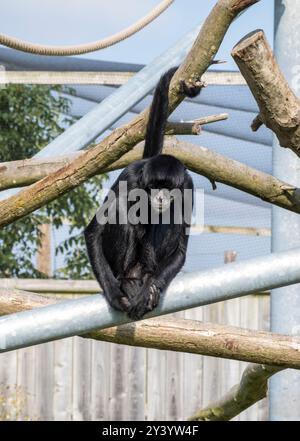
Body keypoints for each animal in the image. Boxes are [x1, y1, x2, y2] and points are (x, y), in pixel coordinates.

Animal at [84, 66, 202, 320]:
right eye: (155, 186)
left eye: (168, 188)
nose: (161, 196)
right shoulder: (128, 176)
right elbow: (93, 230)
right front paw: (115, 296)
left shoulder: (187, 186)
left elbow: (181, 247)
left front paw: (150, 289)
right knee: (120, 209)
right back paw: (126, 280)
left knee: (170, 216)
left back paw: (147, 279)